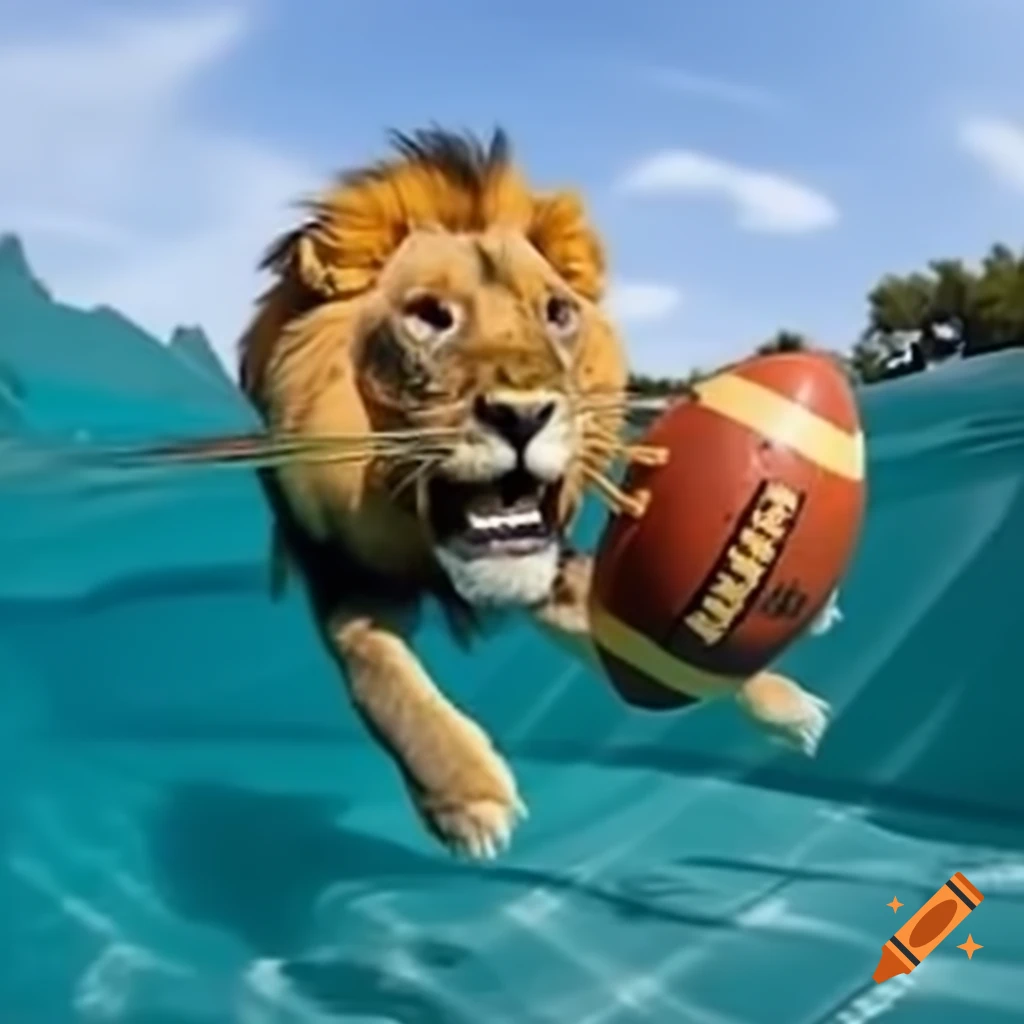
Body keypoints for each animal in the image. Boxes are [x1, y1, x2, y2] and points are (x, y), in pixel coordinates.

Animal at [237, 127, 831, 860]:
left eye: (556, 312)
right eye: (430, 316)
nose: (523, 416)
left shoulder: (553, 571)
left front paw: (783, 701)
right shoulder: (347, 586)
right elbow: (384, 678)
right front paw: (468, 798)